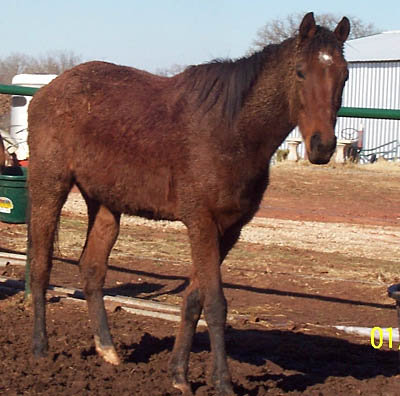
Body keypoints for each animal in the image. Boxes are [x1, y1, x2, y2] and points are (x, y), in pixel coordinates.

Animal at [27, 13, 350, 396]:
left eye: (344, 75)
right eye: (300, 72)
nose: (322, 147)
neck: (231, 129)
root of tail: (47, 90)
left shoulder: (229, 230)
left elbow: (194, 301)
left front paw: (179, 375)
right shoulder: (201, 222)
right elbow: (215, 304)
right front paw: (222, 382)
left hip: (105, 204)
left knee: (91, 270)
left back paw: (108, 351)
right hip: (50, 186)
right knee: (41, 265)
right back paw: (40, 349)